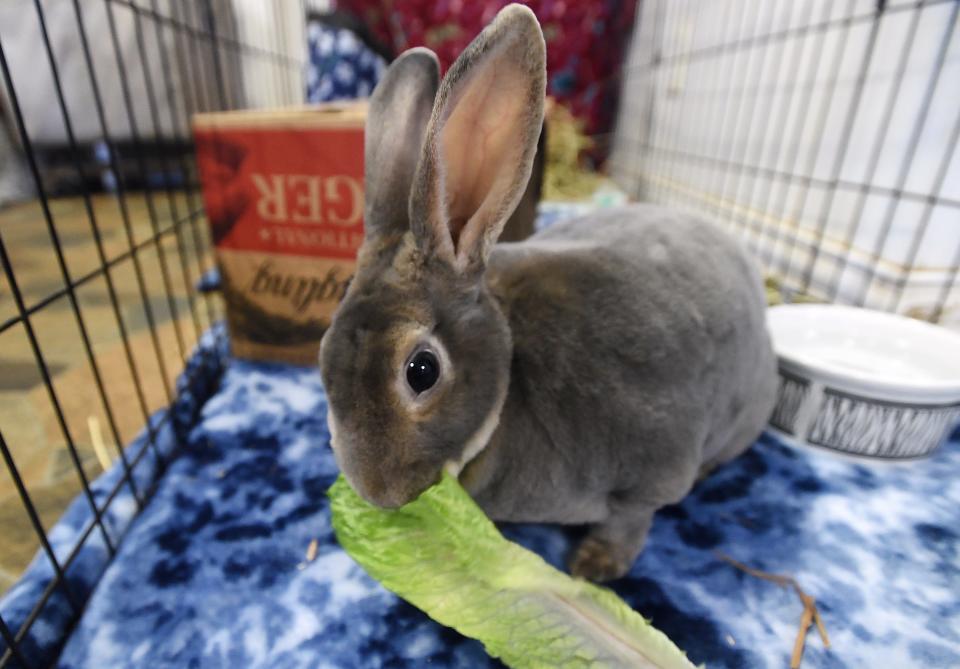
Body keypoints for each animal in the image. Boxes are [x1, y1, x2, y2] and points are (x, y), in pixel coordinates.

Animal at [318, 3, 776, 580]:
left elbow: (632, 521)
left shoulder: (652, 472)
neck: (509, 373)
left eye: (421, 371)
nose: (376, 493)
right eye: (323, 355)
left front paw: (593, 567)